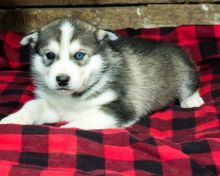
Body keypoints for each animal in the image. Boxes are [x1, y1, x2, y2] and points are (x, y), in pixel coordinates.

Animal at [0, 17, 205, 129]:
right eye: (50, 55)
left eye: (79, 55)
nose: (62, 80)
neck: (73, 98)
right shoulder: (53, 105)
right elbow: (32, 106)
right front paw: (10, 121)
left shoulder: (120, 107)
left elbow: (80, 124)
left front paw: (66, 130)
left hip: (184, 67)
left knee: (190, 84)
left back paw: (192, 100)